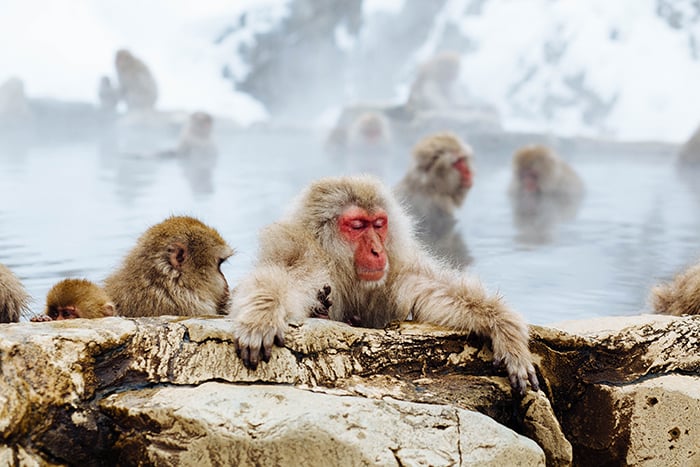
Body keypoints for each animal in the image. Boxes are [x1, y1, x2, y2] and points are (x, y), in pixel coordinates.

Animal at [231, 175, 539, 395]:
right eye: (357, 225)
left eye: (378, 224)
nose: (377, 251)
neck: (341, 267)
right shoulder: (307, 258)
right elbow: (282, 281)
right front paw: (262, 315)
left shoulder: (396, 269)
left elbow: (434, 292)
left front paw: (504, 329)